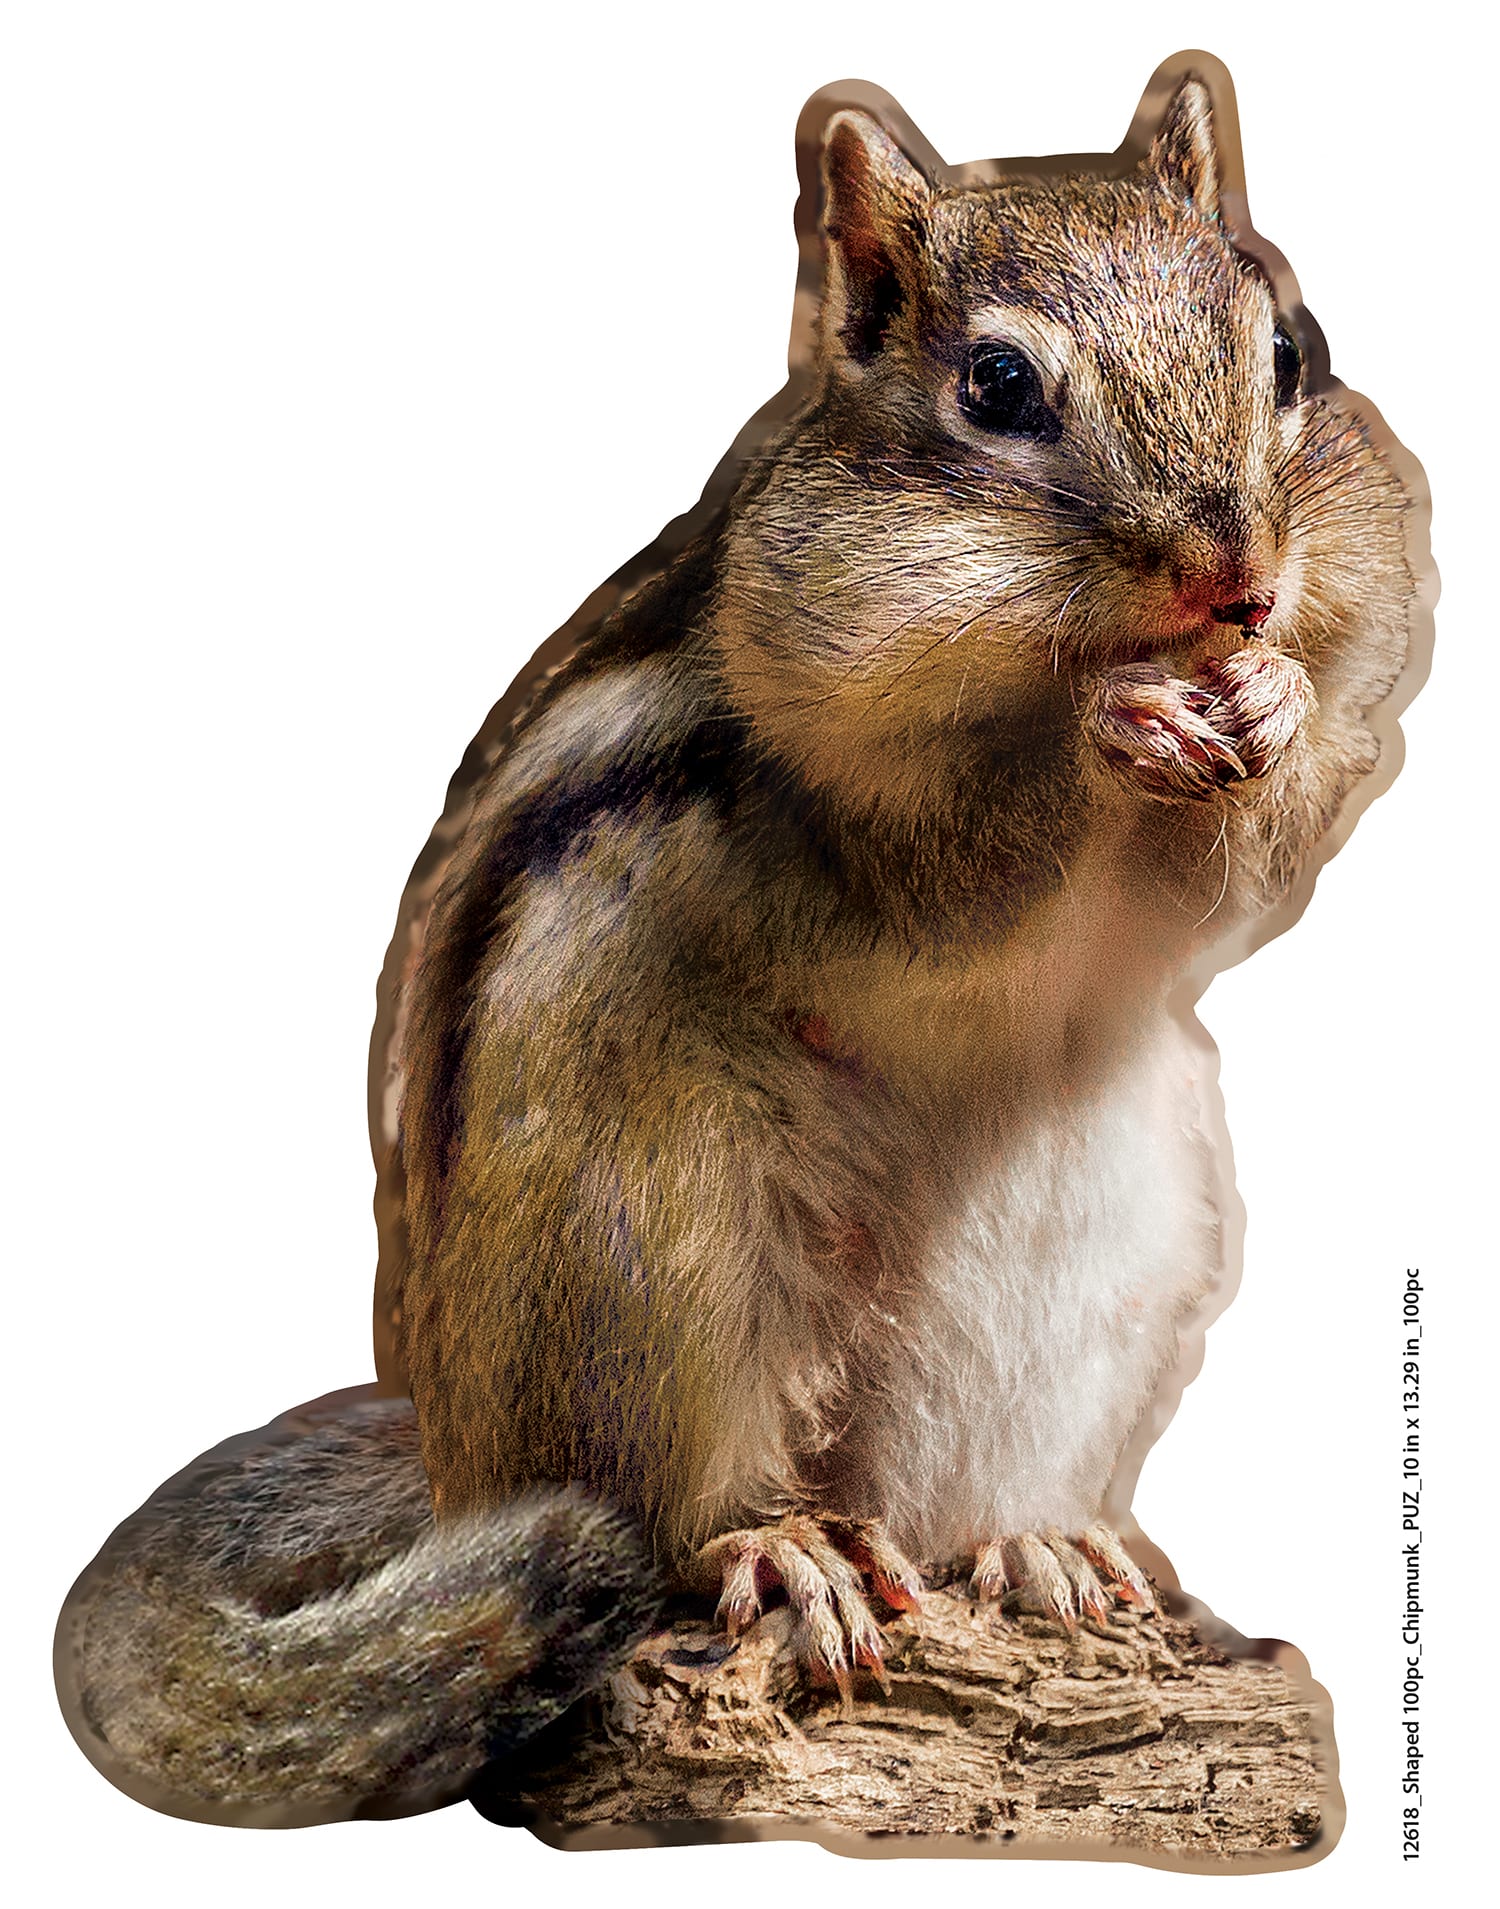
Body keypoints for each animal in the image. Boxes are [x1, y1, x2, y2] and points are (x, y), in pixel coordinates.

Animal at [56, 68, 1418, 1828]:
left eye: (1291, 354)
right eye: (996, 386)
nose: (1237, 580)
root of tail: (453, 1455)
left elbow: (1275, 844)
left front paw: (1272, 701)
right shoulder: (824, 791)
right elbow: (953, 864)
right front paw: (1109, 719)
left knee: (951, 1508)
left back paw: (1039, 1544)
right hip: (640, 1240)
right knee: (672, 1510)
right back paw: (777, 1546)